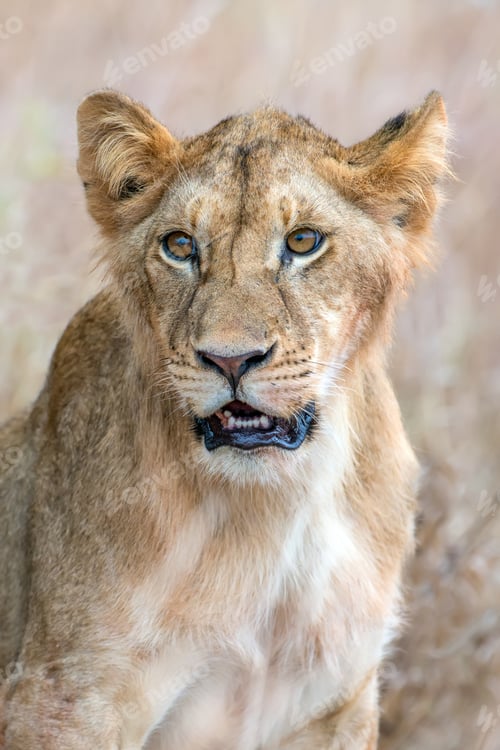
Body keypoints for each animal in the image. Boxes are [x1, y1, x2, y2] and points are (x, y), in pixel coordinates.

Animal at [0, 89, 448, 749]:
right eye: (180, 245)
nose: (230, 359)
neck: (272, 507)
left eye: (304, 240)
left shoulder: (337, 703)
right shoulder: (63, 697)